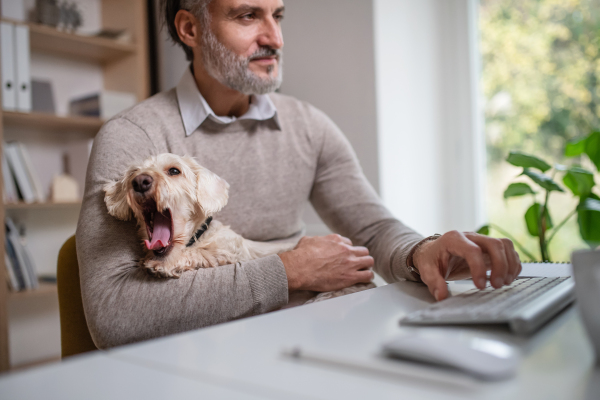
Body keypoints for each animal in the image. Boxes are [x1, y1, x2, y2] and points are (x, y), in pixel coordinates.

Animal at [105, 153, 372, 300]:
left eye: (174, 171)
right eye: (134, 173)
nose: (140, 181)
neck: (198, 236)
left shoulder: (231, 254)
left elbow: (203, 255)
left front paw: (166, 264)